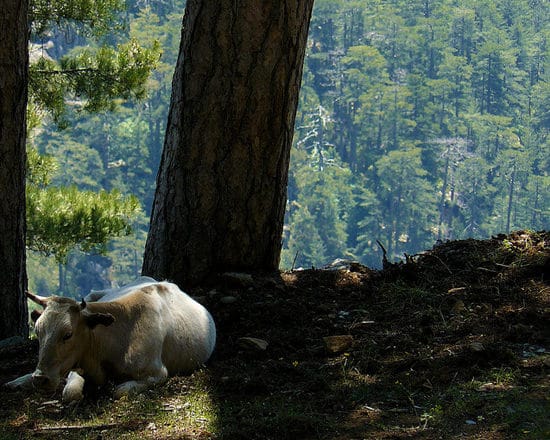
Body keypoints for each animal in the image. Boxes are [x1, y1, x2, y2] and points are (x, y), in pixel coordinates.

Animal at [4, 278, 217, 402]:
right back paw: (16, 382)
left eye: (68, 334)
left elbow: (119, 391)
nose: (41, 378)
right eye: (38, 332)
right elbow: (69, 392)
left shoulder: (158, 373)